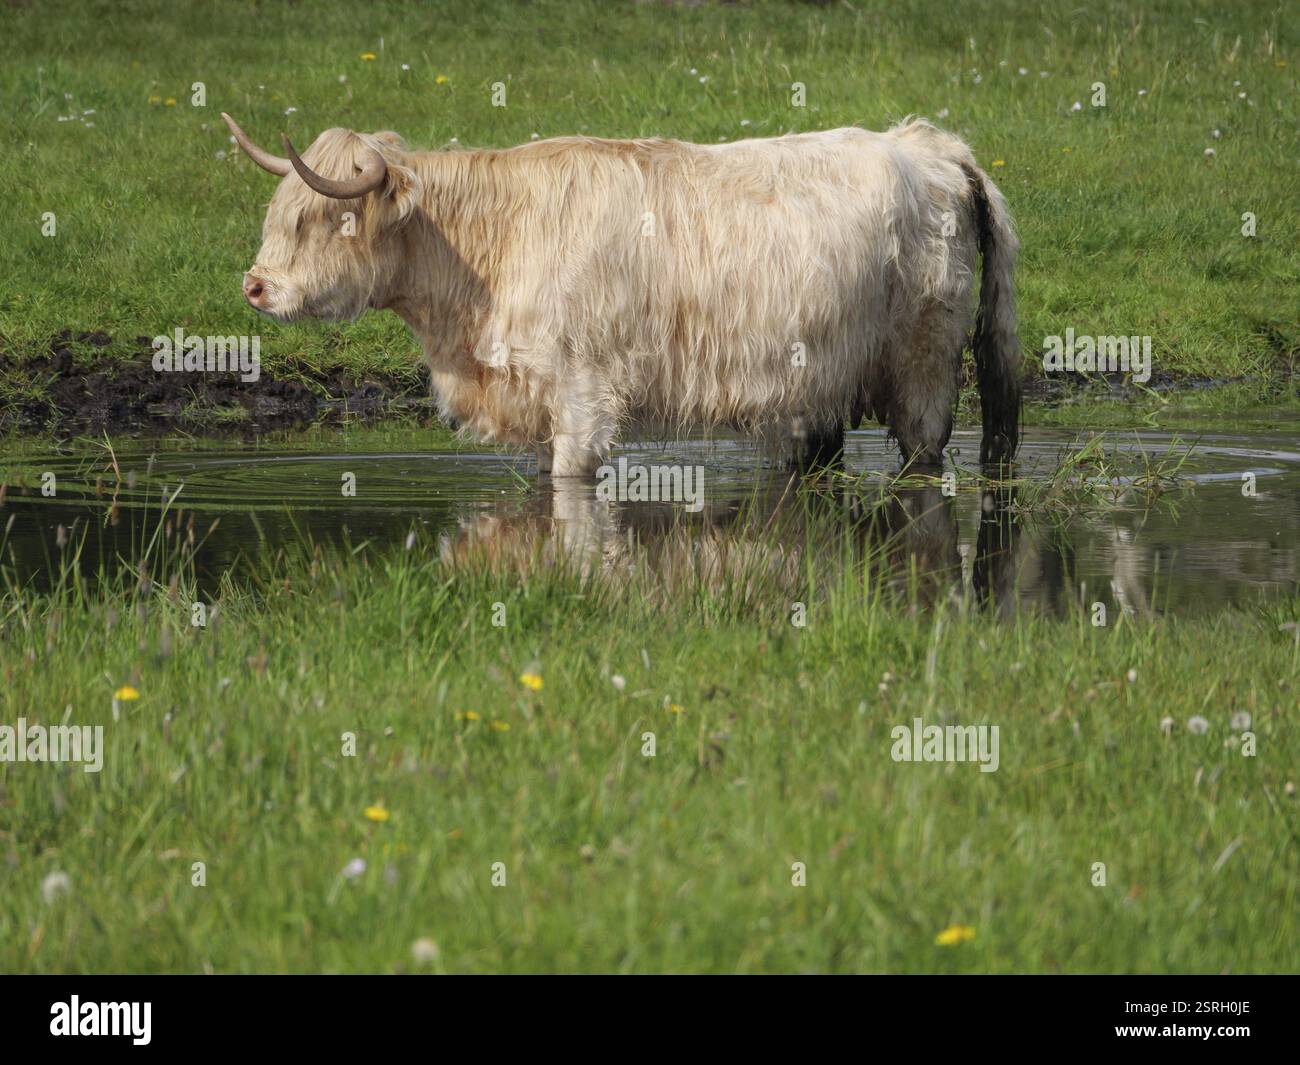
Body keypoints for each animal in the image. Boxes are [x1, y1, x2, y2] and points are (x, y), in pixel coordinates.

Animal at [222, 113, 1021, 476]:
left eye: (323, 217)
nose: (254, 286)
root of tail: (929, 145)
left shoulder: (582, 391)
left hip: (924, 365)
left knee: (923, 453)